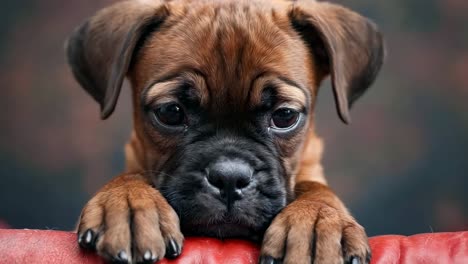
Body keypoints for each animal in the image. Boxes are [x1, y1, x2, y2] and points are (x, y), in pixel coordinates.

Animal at [67, 0, 386, 264]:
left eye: (285, 116)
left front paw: (319, 220)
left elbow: (316, 187)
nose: (230, 178)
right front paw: (128, 202)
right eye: (170, 112)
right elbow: (132, 175)